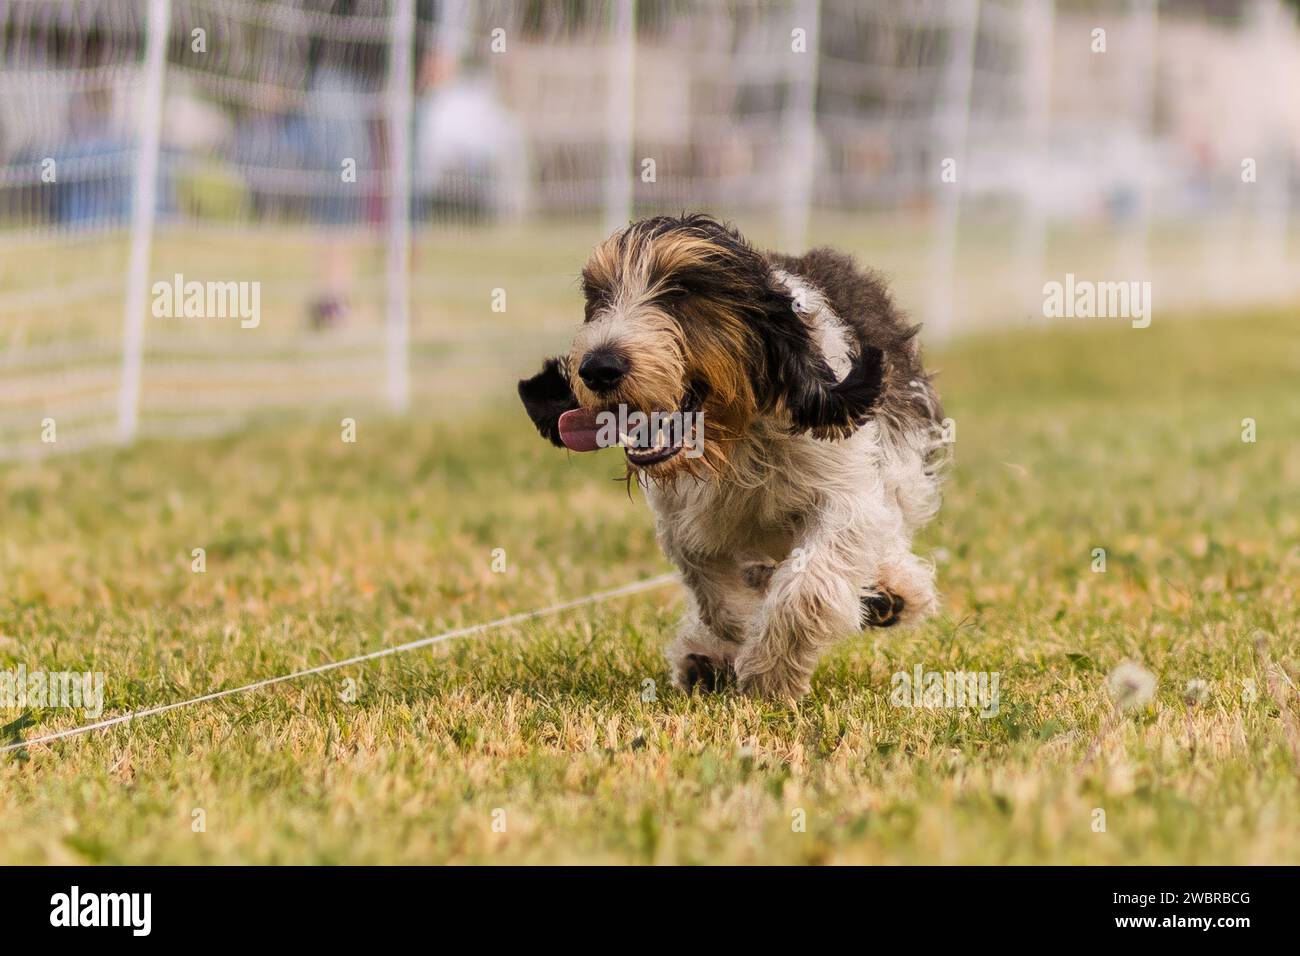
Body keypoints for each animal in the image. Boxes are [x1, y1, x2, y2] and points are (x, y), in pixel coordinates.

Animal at [520, 213, 946, 697]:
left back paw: (892, 592)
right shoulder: (684, 522)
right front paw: (735, 639)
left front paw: (770, 673)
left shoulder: (844, 491)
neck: (733, 439)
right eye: (597, 298)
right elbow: (716, 596)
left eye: (683, 290)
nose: (596, 367)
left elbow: (811, 581)